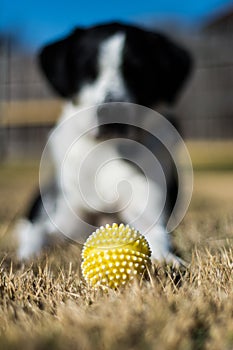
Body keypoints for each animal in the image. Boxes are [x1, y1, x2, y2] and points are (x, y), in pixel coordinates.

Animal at [15, 21, 191, 264]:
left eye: (137, 73)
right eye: (88, 72)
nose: (112, 111)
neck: (108, 150)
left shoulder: (149, 210)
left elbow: (156, 234)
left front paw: (166, 259)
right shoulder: (62, 218)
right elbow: (37, 233)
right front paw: (26, 257)